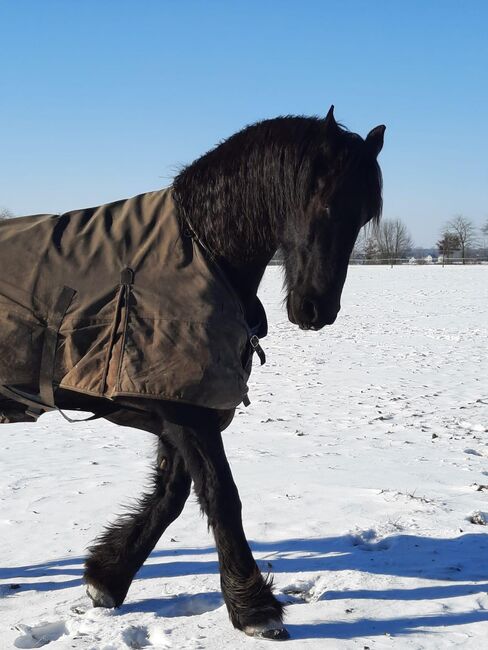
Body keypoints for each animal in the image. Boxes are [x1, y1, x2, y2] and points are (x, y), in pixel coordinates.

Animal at [1, 106, 386, 636]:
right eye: (324, 205)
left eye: (363, 216)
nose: (317, 310)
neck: (204, 249)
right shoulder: (184, 411)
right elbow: (221, 496)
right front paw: (255, 609)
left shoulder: (180, 407)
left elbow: (173, 493)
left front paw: (107, 577)